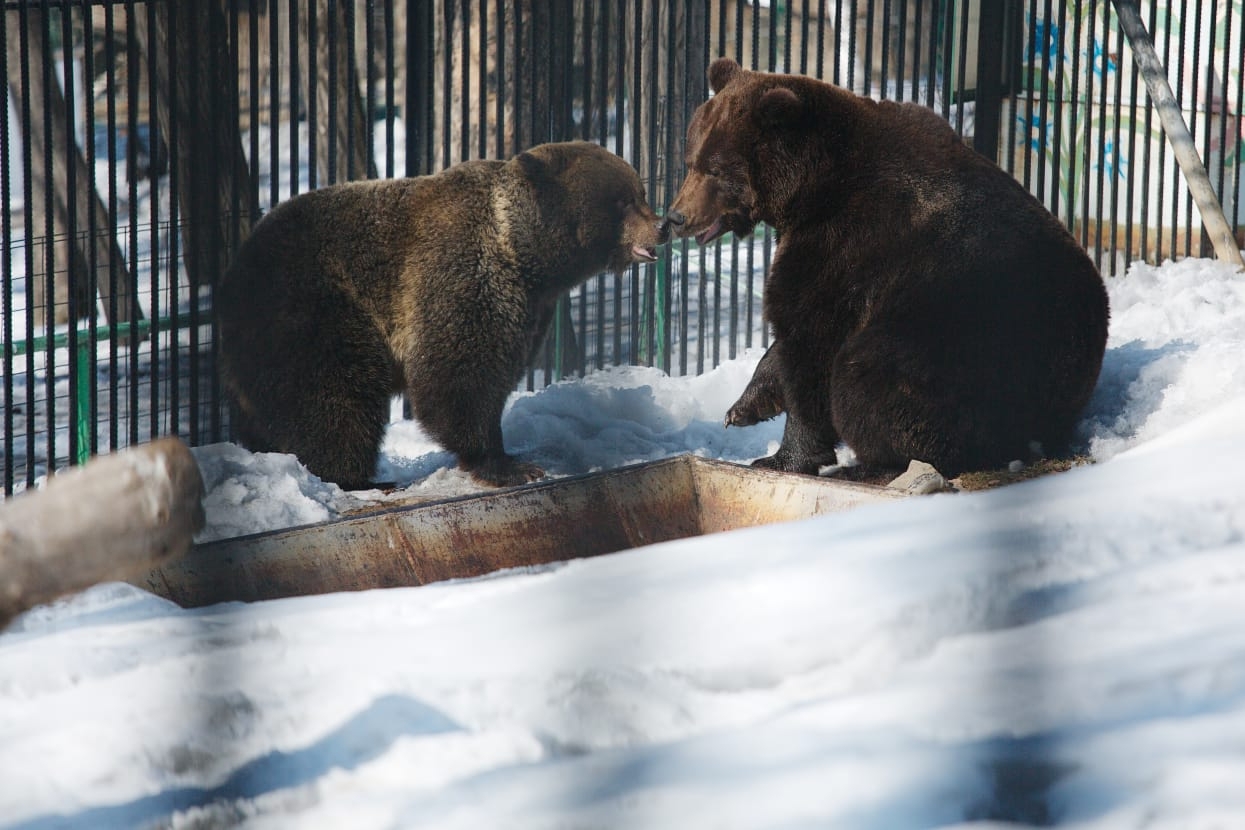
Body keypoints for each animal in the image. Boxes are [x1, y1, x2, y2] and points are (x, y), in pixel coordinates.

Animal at [221, 140, 672, 490]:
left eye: (640, 192)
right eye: (622, 200)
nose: (663, 225)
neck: (526, 255)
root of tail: (236, 269)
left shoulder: (531, 308)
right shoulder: (461, 274)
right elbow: (458, 374)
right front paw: (506, 464)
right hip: (312, 308)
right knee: (335, 393)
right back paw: (355, 477)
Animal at [672, 60, 1110, 480]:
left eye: (715, 170)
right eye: (691, 160)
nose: (676, 217)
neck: (812, 188)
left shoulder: (846, 243)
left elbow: (811, 341)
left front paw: (783, 457)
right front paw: (744, 407)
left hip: (960, 349)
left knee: (865, 381)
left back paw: (868, 464)